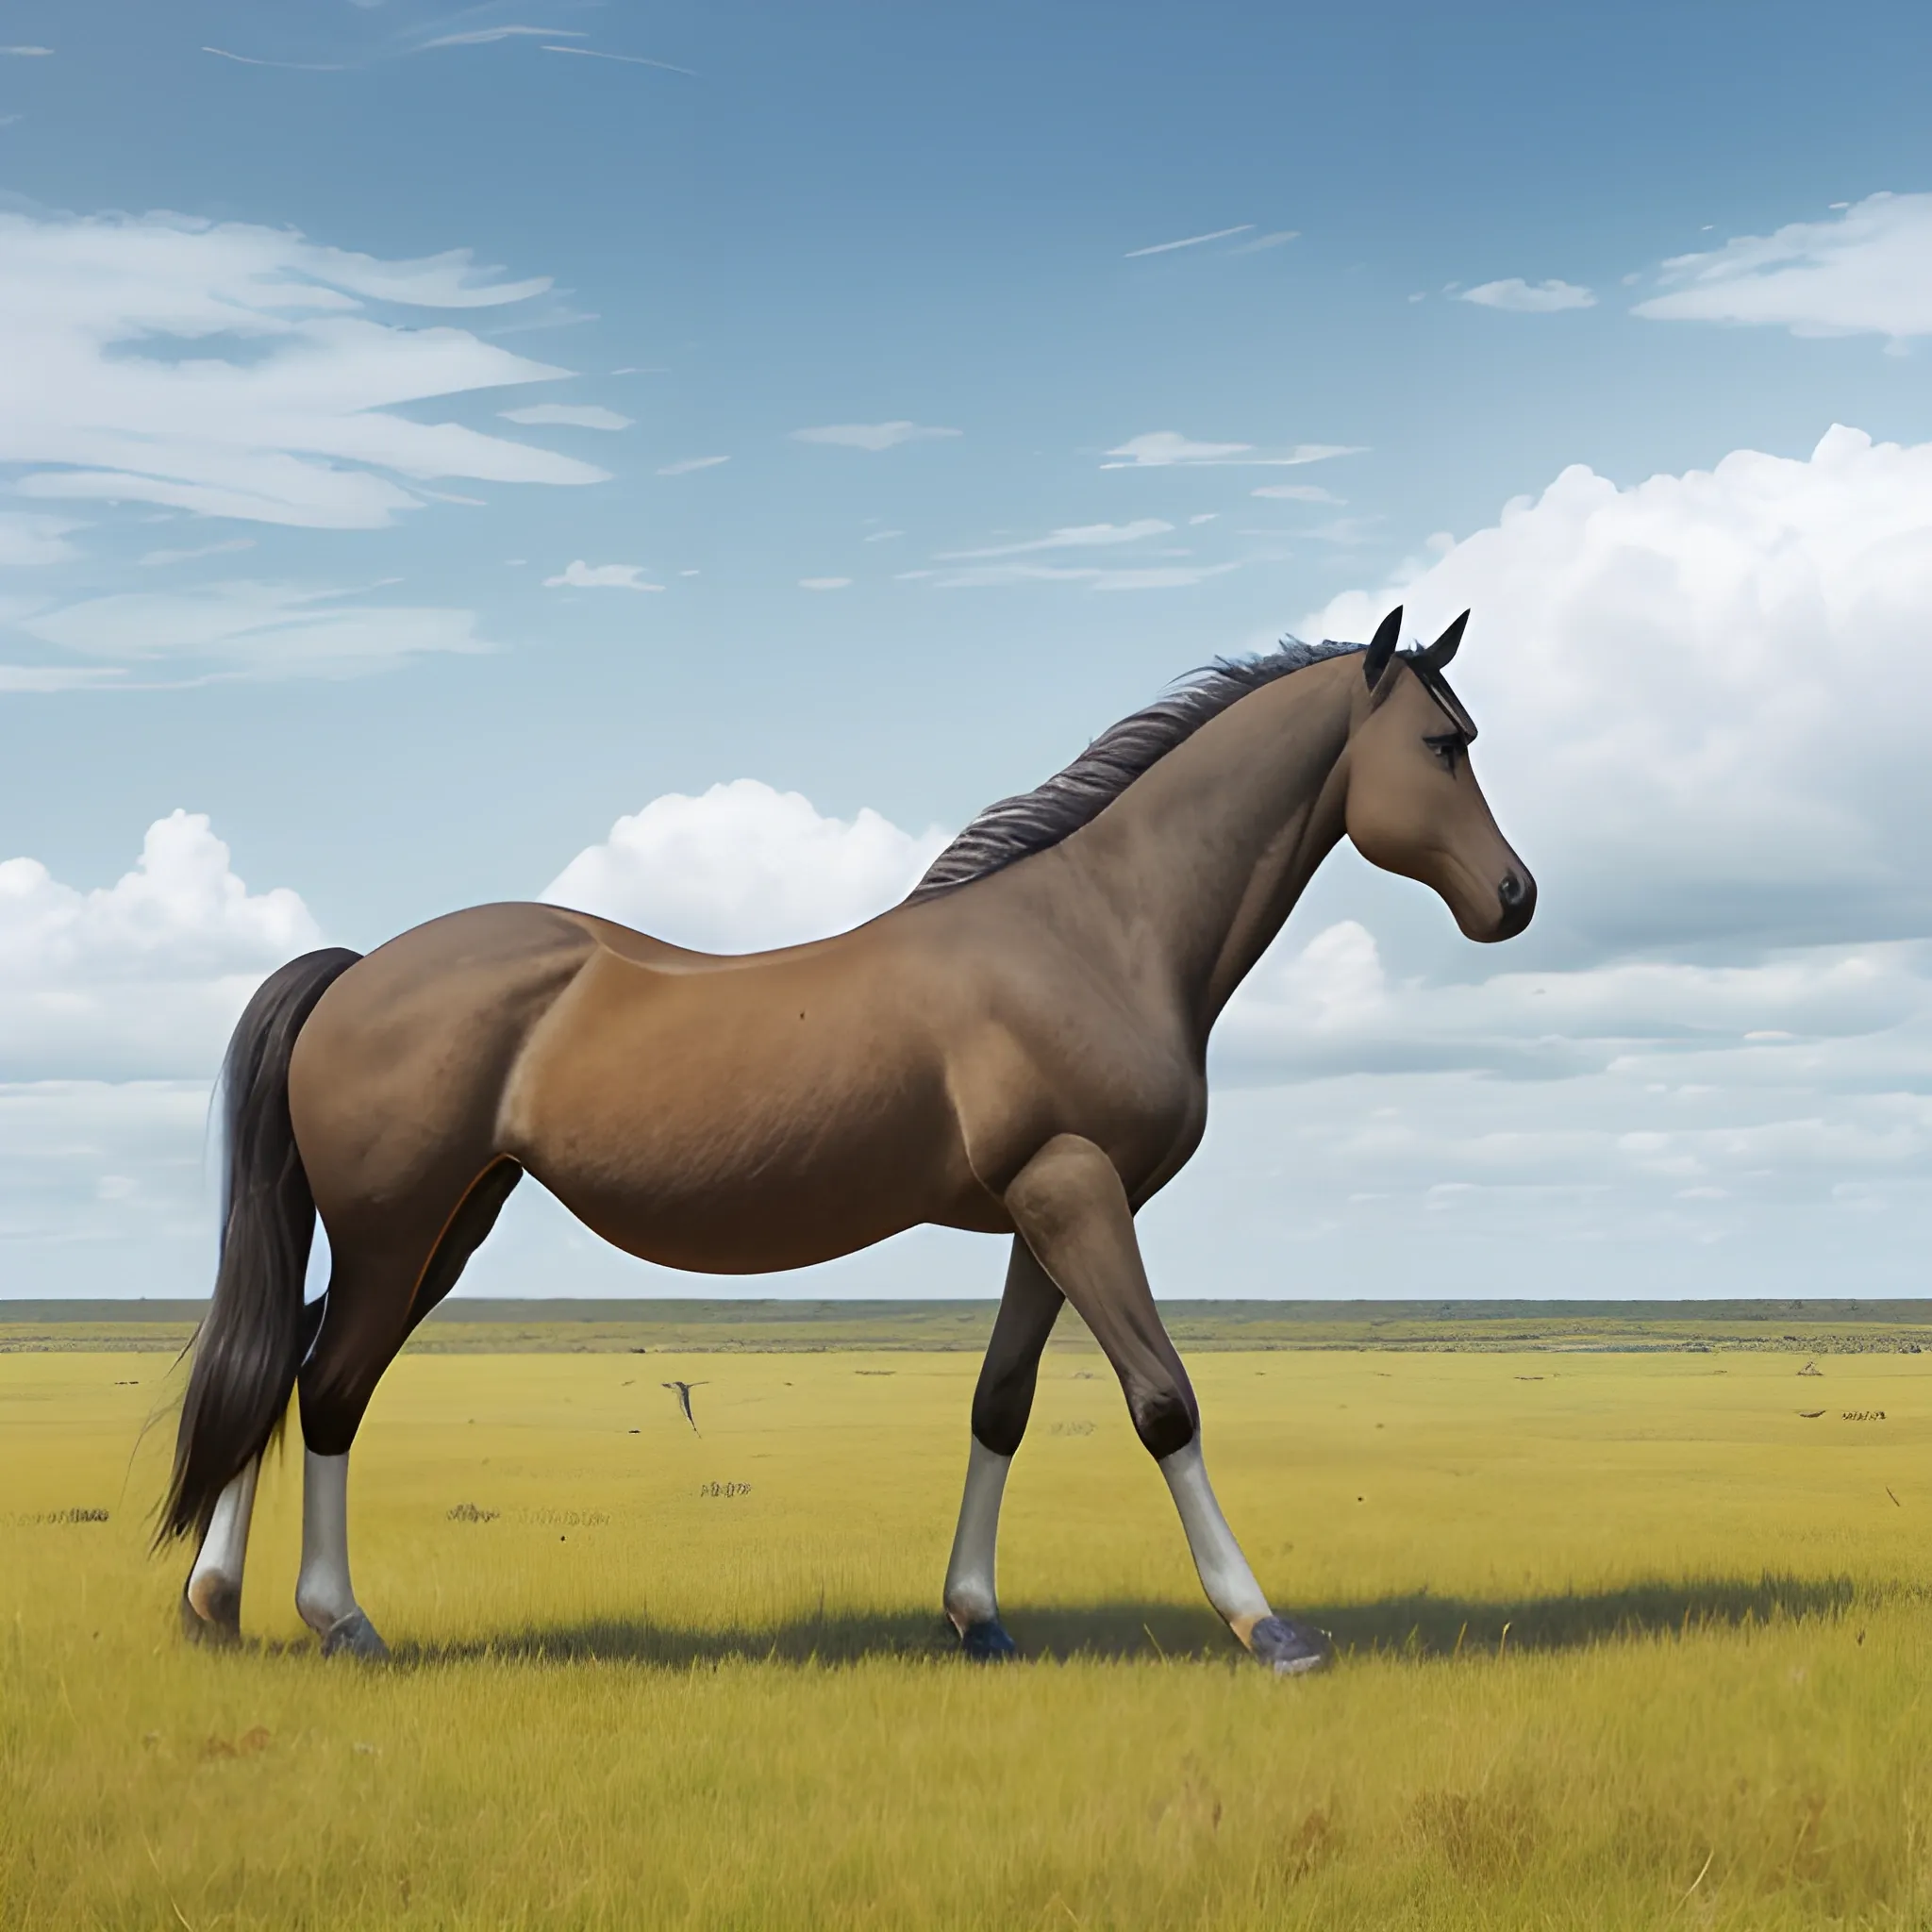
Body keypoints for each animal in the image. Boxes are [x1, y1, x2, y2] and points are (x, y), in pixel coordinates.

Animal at [158, 607, 1530, 1676]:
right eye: (1440, 744)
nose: (1514, 898)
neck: (1093, 930)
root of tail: (355, 972)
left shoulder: (1048, 1206)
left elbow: (1000, 1403)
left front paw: (976, 1618)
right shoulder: (1076, 1192)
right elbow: (1162, 1400)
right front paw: (1267, 1628)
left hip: (452, 1219)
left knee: (286, 1364)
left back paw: (215, 1604)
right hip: (398, 1230)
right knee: (326, 1386)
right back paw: (336, 1621)